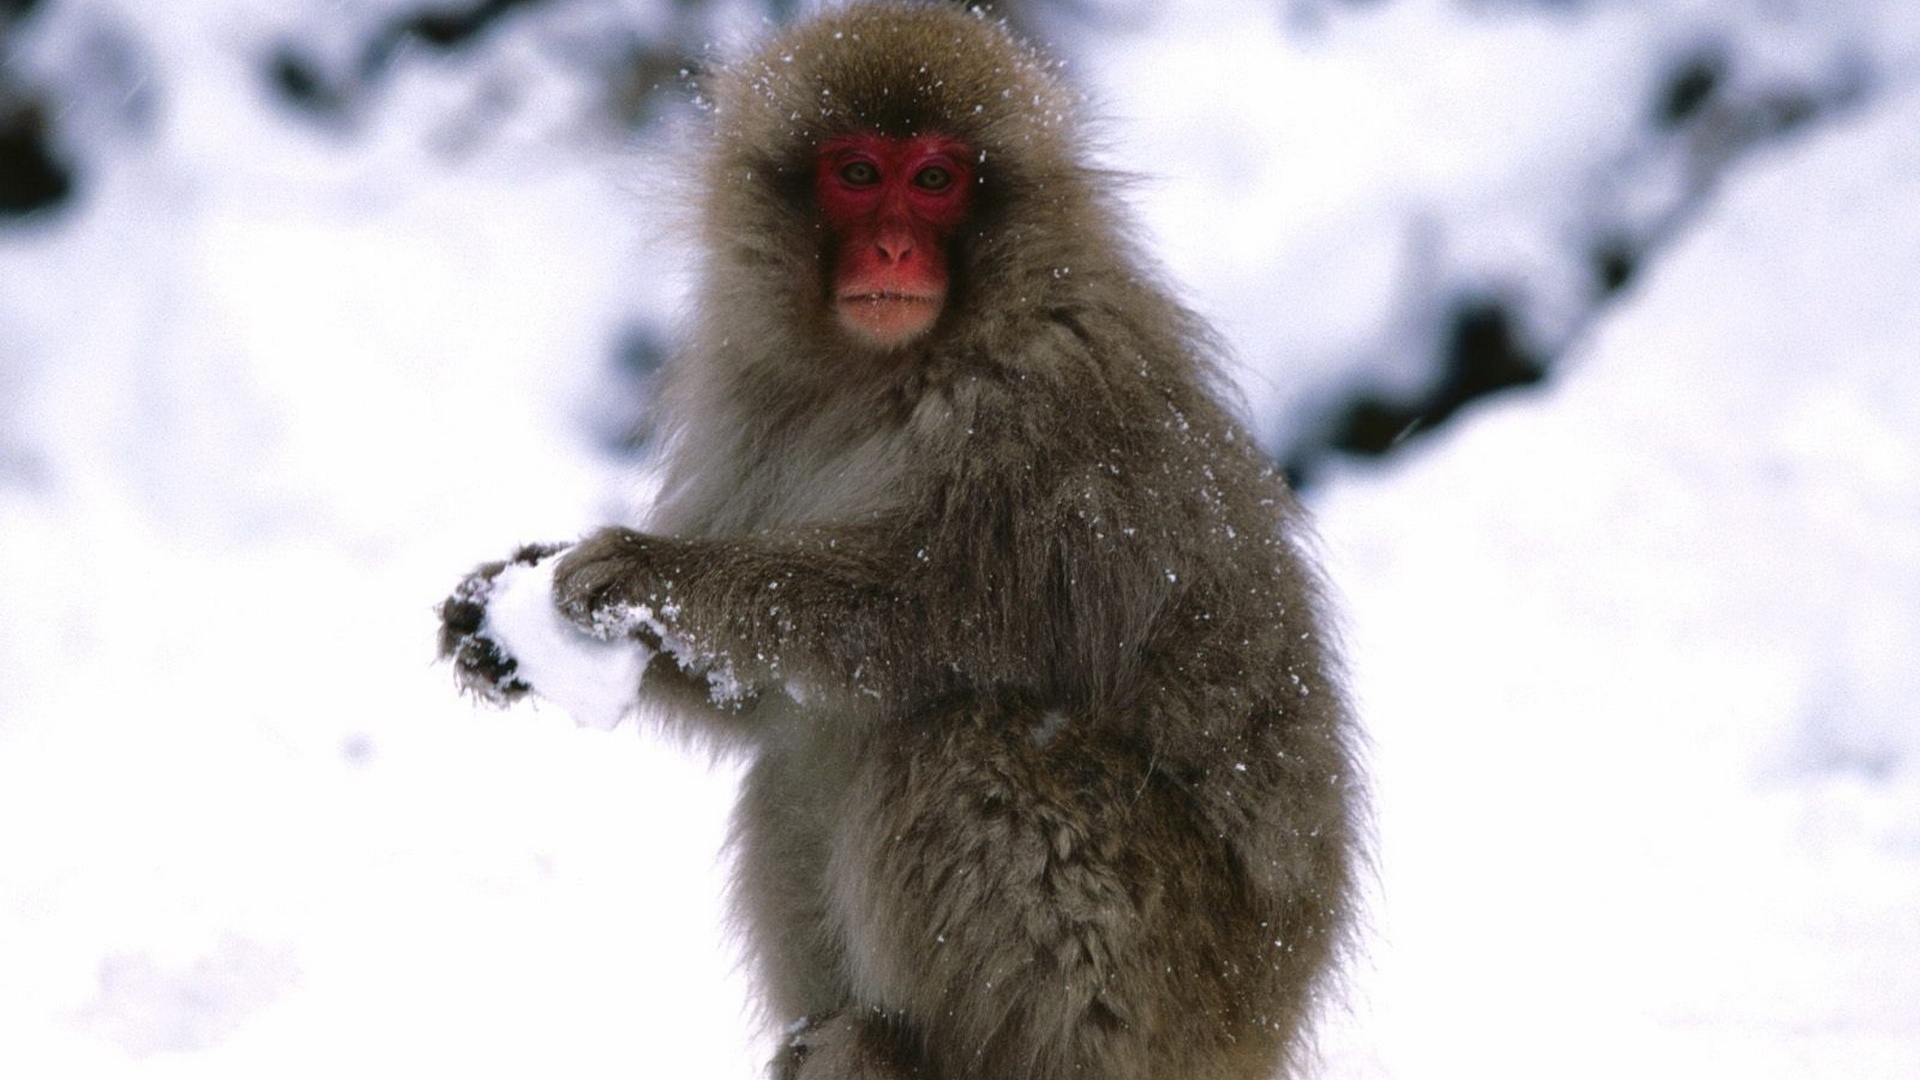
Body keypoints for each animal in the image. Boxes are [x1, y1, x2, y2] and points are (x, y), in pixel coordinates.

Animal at [439, 4, 1359, 1068]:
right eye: (855, 172)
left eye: (933, 180)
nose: (888, 251)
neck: (888, 372)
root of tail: (1262, 1026)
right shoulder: (753, 397)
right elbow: (758, 693)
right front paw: (498, 611)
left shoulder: (1041, 426)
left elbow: (912, 618)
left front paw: (648, 574)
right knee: (798, 760)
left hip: (1149, 974)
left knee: (961, 740)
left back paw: (918, 1053)